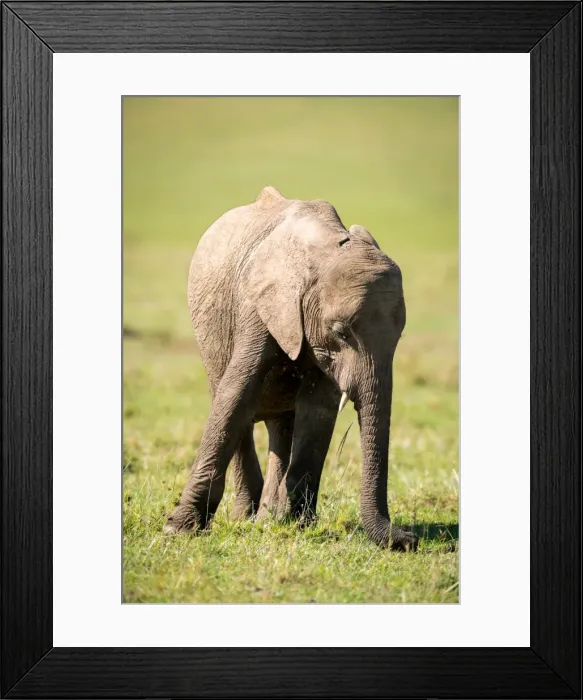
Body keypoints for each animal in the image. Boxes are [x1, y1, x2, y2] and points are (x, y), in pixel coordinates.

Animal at [164, 186, 418, 551]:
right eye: (341, 332)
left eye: (400, 336)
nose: (407, 539)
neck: (326, 247)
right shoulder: (262, 303)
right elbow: (236, 395)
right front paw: (179, 529)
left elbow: (319, 409)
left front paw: (297, 525)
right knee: (235, 407)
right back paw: (247, 516)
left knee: (281, 426)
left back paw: (267, 517)